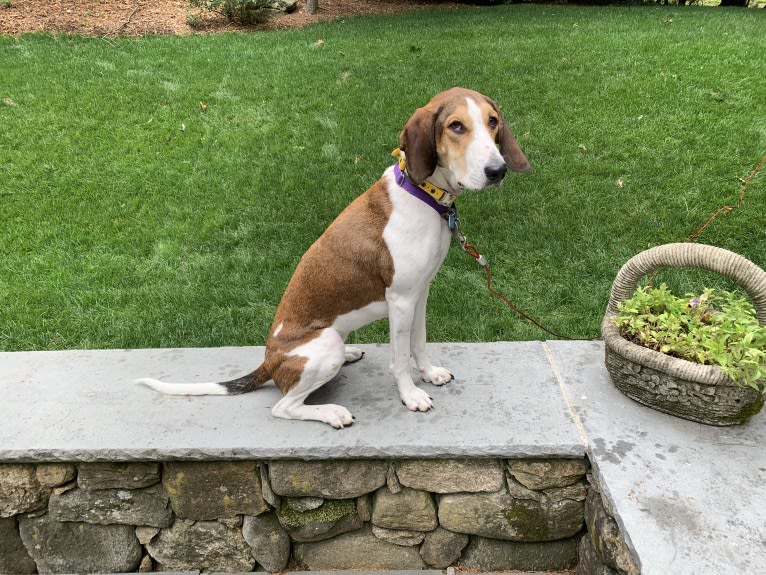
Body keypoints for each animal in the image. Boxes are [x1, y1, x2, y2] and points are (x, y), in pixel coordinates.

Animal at [138, 86, 532, 428]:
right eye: (456, 126)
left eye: (493, 121)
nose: (497, 171)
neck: (424, 195)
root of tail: (269, 360)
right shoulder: (401, 300)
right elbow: (399, 358)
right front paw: (410, 395)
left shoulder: (420, 293)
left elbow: (418, 343)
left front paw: (430, 373)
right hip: (324, 345)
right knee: (282, 407)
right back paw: (331, 412)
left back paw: (351, 354)